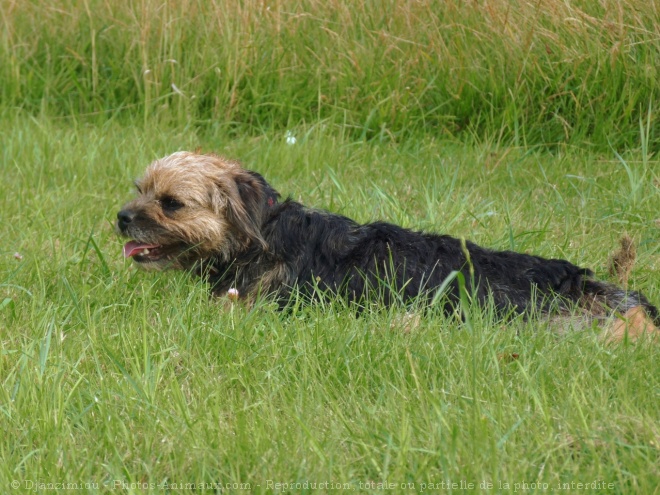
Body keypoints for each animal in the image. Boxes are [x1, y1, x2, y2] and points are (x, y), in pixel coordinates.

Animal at [118, 151, 660, 342]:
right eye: (139, 189)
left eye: (171, 204)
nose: (121, 218)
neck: (258, 235)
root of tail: (576, 281)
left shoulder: (253, 305)